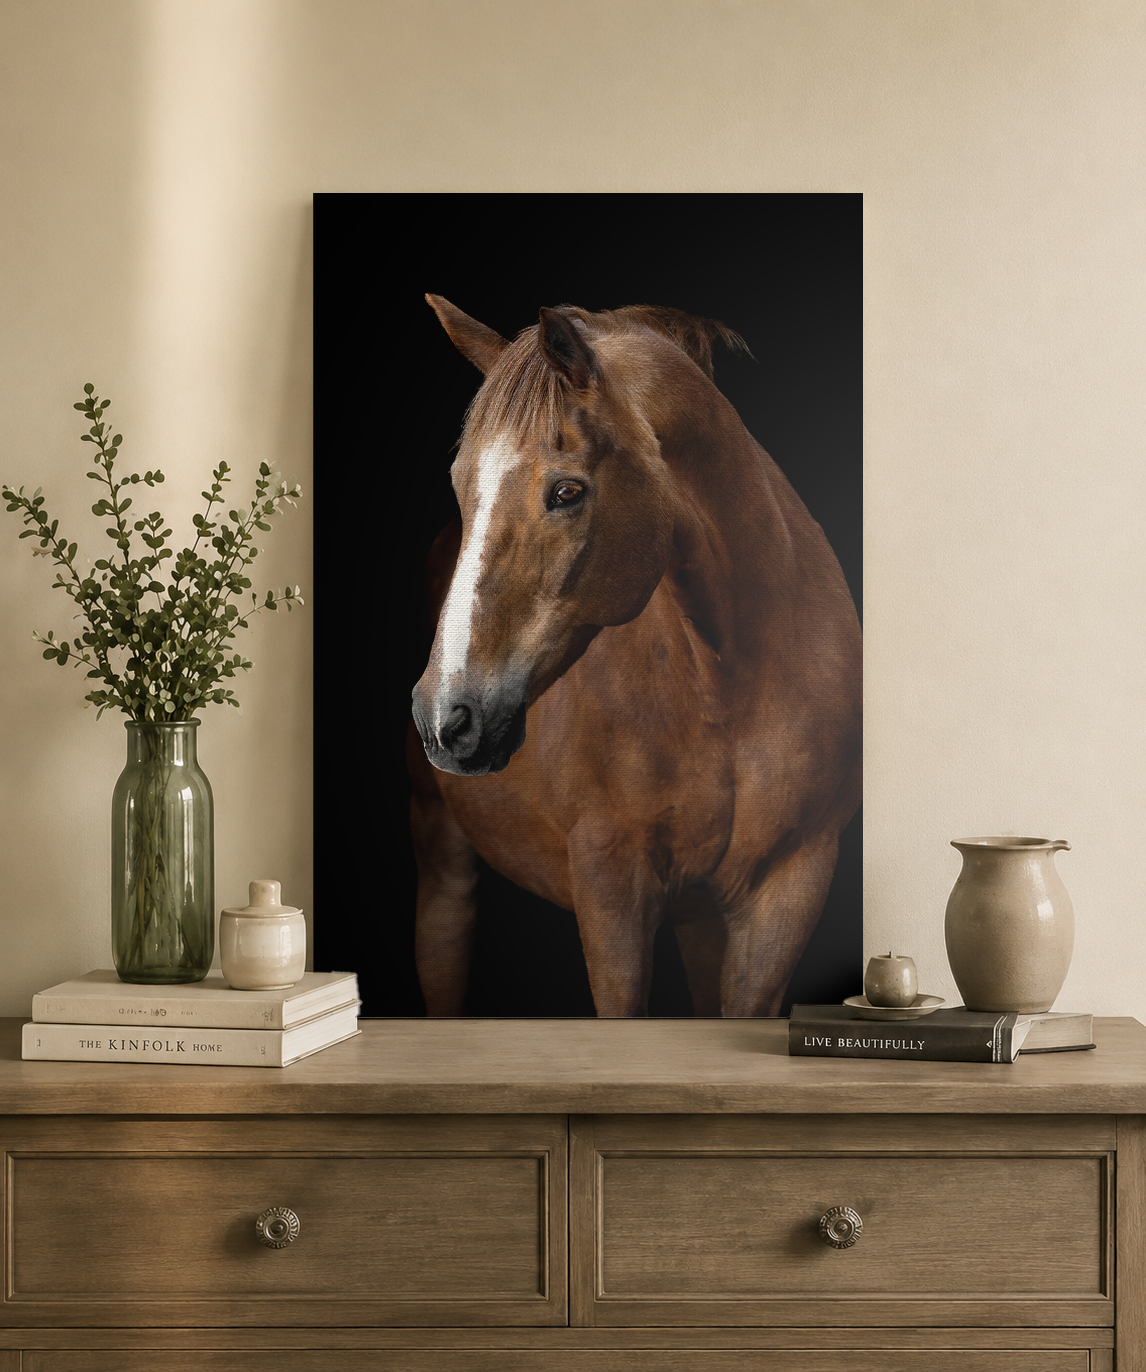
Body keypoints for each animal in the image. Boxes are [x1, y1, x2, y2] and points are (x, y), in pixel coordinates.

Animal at [408, 295, 861, 1018]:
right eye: (461, 484)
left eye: (566, 491)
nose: (445, 717)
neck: (727, 685)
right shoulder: (610, 884)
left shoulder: (789, 887)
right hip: (445, 859)